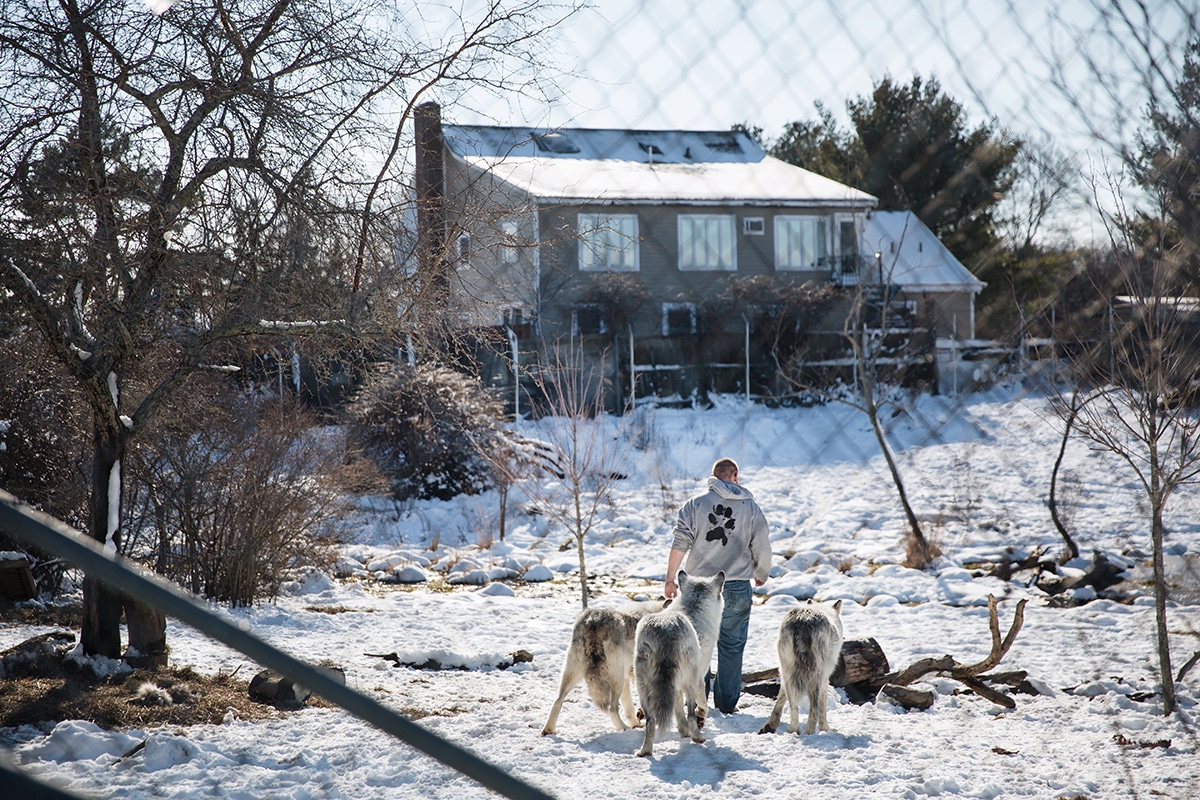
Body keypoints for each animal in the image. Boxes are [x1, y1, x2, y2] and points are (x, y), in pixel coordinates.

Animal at [633, 568, 724, 758]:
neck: (693, 608)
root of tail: (665, 629)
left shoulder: (675, 688)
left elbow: (678, 713)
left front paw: (683, 732)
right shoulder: (700, 677)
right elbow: (701, 705)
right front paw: (697, 722)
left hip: (643, 687)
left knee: (651, 720)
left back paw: (645, 751)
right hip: (690, 681)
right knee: (690, 714)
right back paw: (698, 738)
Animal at [758, 597, 844, 734]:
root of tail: (803, 621)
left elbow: (780, 699)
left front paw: (770, 725)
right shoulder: (825, 678)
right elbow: (822, 706)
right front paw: (826, 729)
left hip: (787, 672)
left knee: (793, 706)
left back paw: (793, 731)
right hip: (816, 677)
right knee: (813, 708)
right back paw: (809, 733)